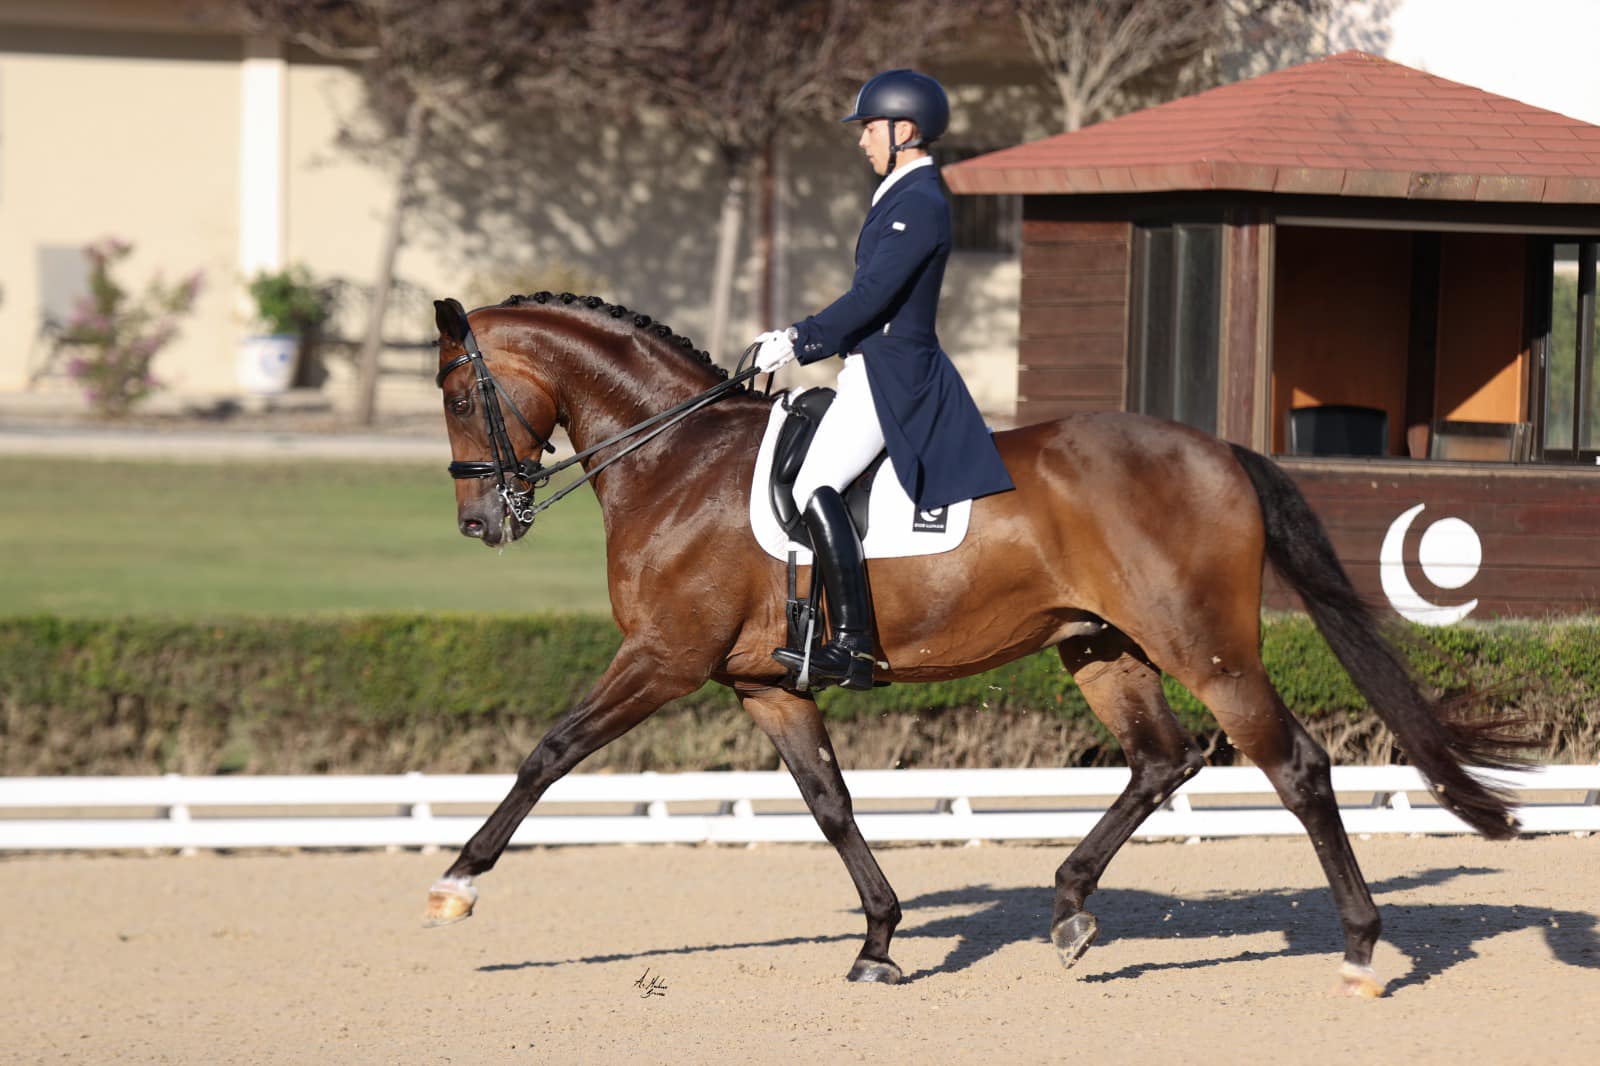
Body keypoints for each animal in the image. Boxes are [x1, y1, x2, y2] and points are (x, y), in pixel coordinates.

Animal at [425, 291, 1523, 998]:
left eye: (456, 394)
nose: (479, 524)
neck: (675, 460)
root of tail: (1218, 450)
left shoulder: (663, 658)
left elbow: (550, 752)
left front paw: (456, 884)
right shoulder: (763, 686)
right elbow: (829, 803)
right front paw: (878, 940)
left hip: (1205, 648)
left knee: (1291, 763)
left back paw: (1360, 950)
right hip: (1103, 647)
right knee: (1162, 758)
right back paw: (1072, 906)